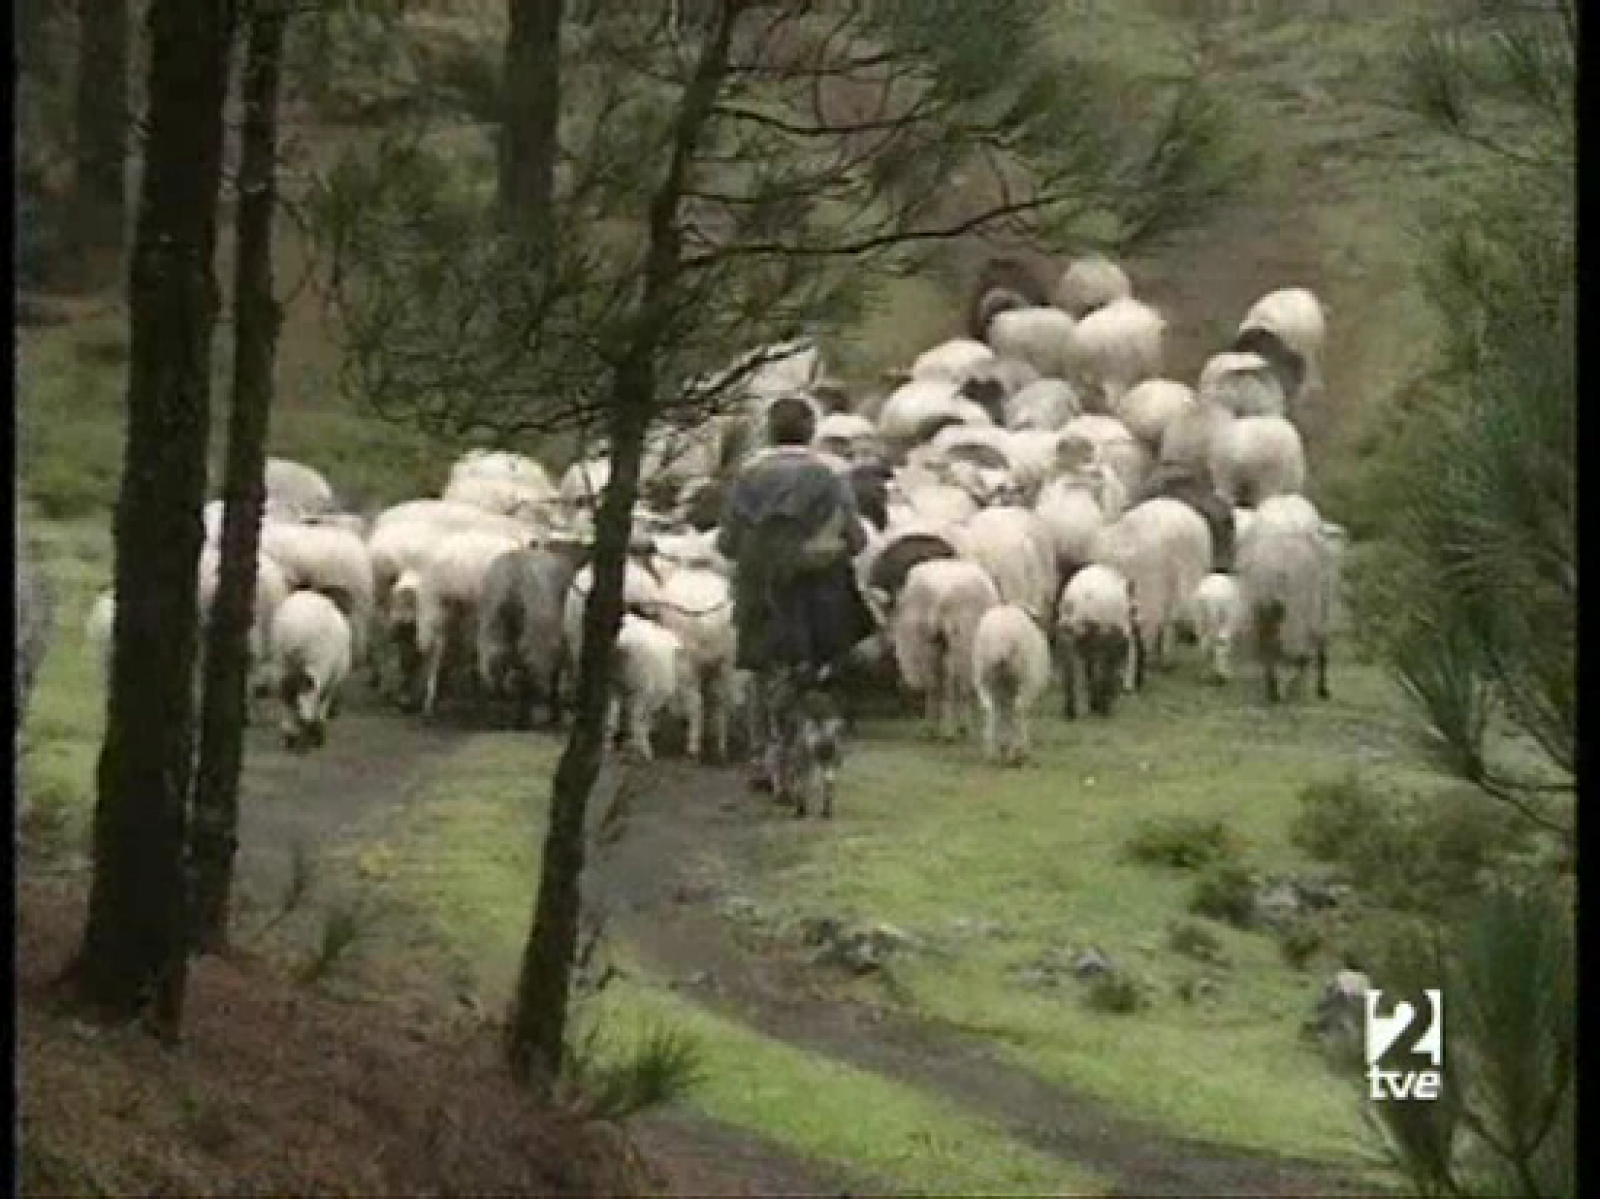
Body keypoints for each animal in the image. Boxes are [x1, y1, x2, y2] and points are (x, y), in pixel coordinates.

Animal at [267, 585, 352, 749]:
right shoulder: (333, 677)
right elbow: (324, 701)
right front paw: (317, 731)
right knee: (307, 691)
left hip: (281, 660)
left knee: (284, 692)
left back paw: (291, 730)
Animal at [889, 560, 998, 739]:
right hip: (966, 637)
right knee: (958, 683)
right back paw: (956, 729)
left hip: (929, 641)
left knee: (939, 683)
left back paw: (938, 729)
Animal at [966, 601, 1056, 761]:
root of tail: (1001, 640)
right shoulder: (1028, 684)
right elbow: (1016, 711)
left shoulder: (1004, 689)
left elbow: (1004, 712)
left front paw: (1003, 744)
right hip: (1023, 677)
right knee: (1018, 708)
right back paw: (1017, 751)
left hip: (983, 676)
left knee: (990, 708)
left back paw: (993, 752)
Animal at [1056, 560, 1145, 710]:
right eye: (1134, 609)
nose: (1140, 623)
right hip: (1102, 632)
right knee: (1104, 668)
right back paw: (1102, 705)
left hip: (1068, 632)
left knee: (1072, 669)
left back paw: (1074, 708)